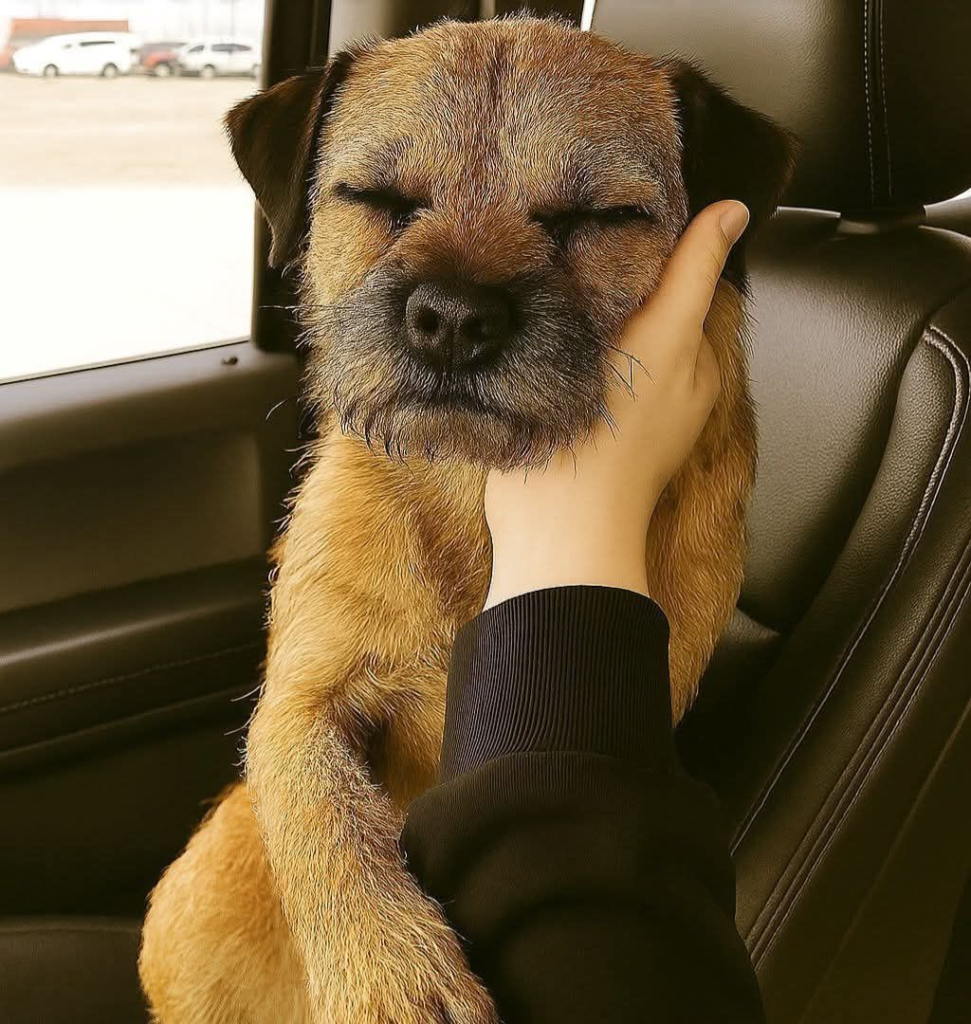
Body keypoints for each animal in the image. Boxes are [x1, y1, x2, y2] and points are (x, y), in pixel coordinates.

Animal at [139, 15, 795, 1024]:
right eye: (377, 198)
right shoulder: (297, 703)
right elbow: (323, 819)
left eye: (596, 218)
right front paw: (394, 978)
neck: (468, 492)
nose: (452, 316)